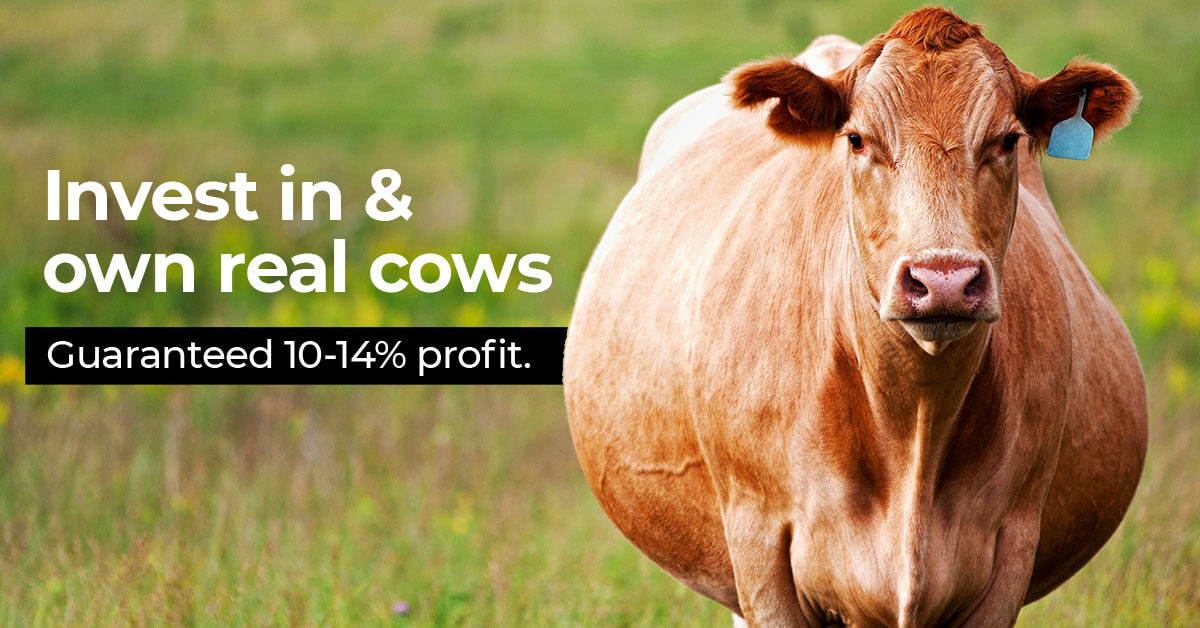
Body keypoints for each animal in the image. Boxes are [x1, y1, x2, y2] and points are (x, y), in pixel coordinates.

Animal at [563, 7, 1147, 627]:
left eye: (1008, 139)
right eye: (858, 139)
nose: (943, 279)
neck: (913, 421)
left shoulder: (1012, 547)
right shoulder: (757, 543)